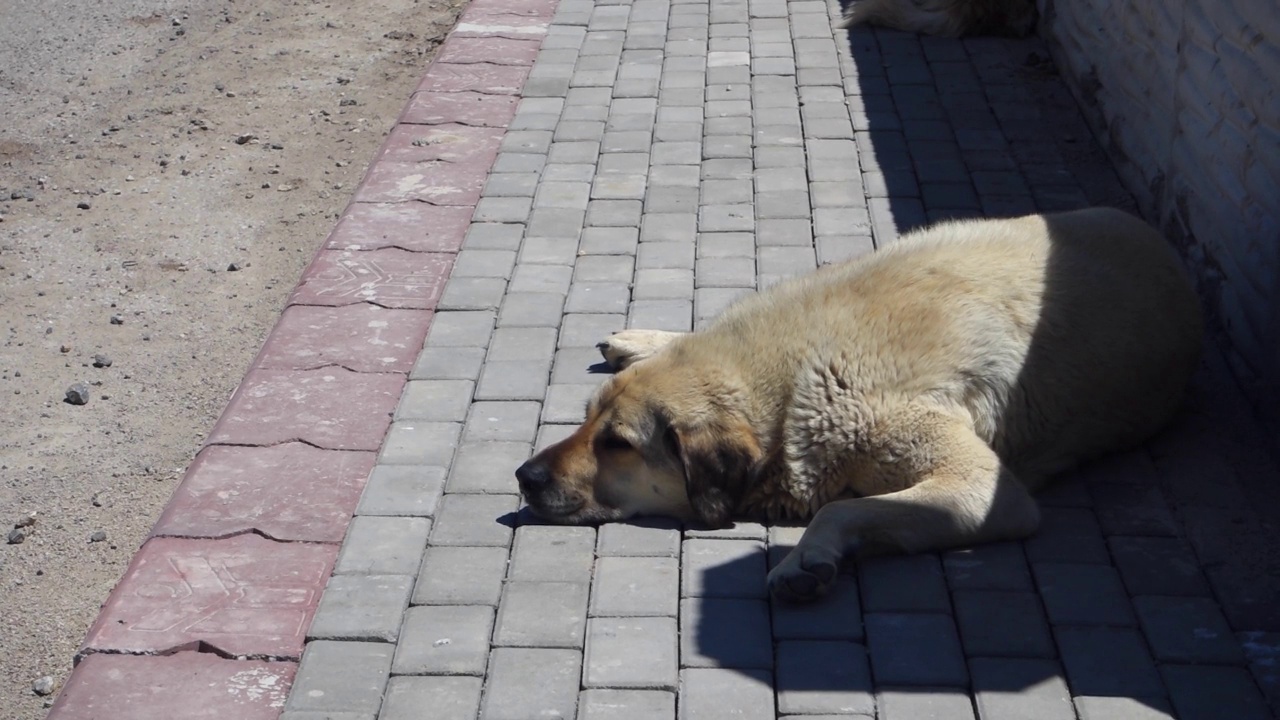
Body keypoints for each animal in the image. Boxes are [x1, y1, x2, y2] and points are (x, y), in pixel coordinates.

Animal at [509, 207, 1198, 599]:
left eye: (617, 444)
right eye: (587, 422)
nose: (525, 476)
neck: (783, 375)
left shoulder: (980, 486)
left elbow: (841, 509)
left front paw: (809, 557)